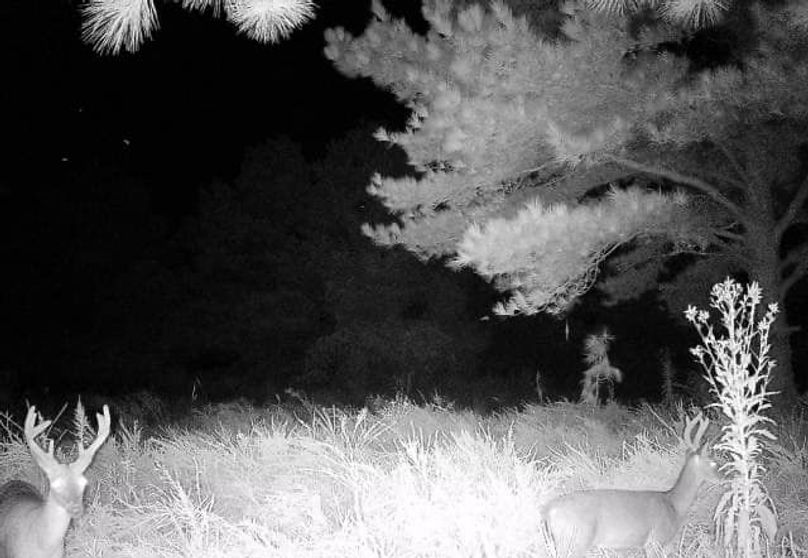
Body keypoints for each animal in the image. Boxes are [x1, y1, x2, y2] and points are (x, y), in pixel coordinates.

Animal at [541, 412, 720, 557]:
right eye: (713, 463)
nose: (723, 477)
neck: (674, 505)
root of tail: (549, 510)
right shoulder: (655, 541)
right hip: (577, 540)